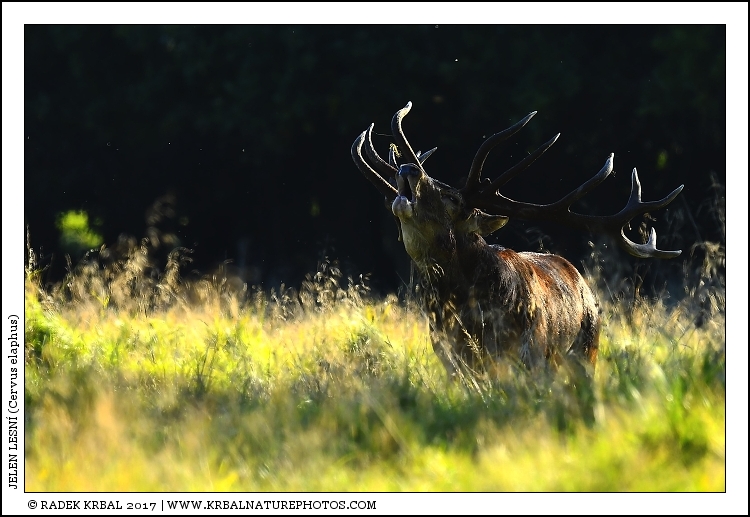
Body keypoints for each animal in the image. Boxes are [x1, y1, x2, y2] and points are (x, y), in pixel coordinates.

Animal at [351, 102, 683, 380]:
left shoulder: (527, 353)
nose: (408, 168)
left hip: (586, 350)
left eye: (453, 198)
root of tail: (584, 284)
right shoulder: (449, 357)